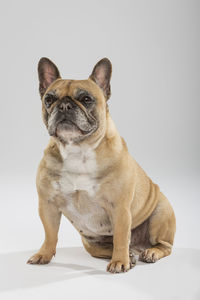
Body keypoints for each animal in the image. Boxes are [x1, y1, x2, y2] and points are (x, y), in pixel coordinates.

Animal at [27, 57, 175, 274]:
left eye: (86, 99)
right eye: (49, 99)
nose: (64, 106)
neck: (78, 150)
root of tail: (139, 246)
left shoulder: (120, 208)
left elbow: (121, 237)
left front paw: (119, 262)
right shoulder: (48, 204)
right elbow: (50, 233)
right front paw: (43, 254)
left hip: (160, 214)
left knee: (163, 245)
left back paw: (149, 253)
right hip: (90, 241)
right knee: (106, 248)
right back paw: (130, 257)